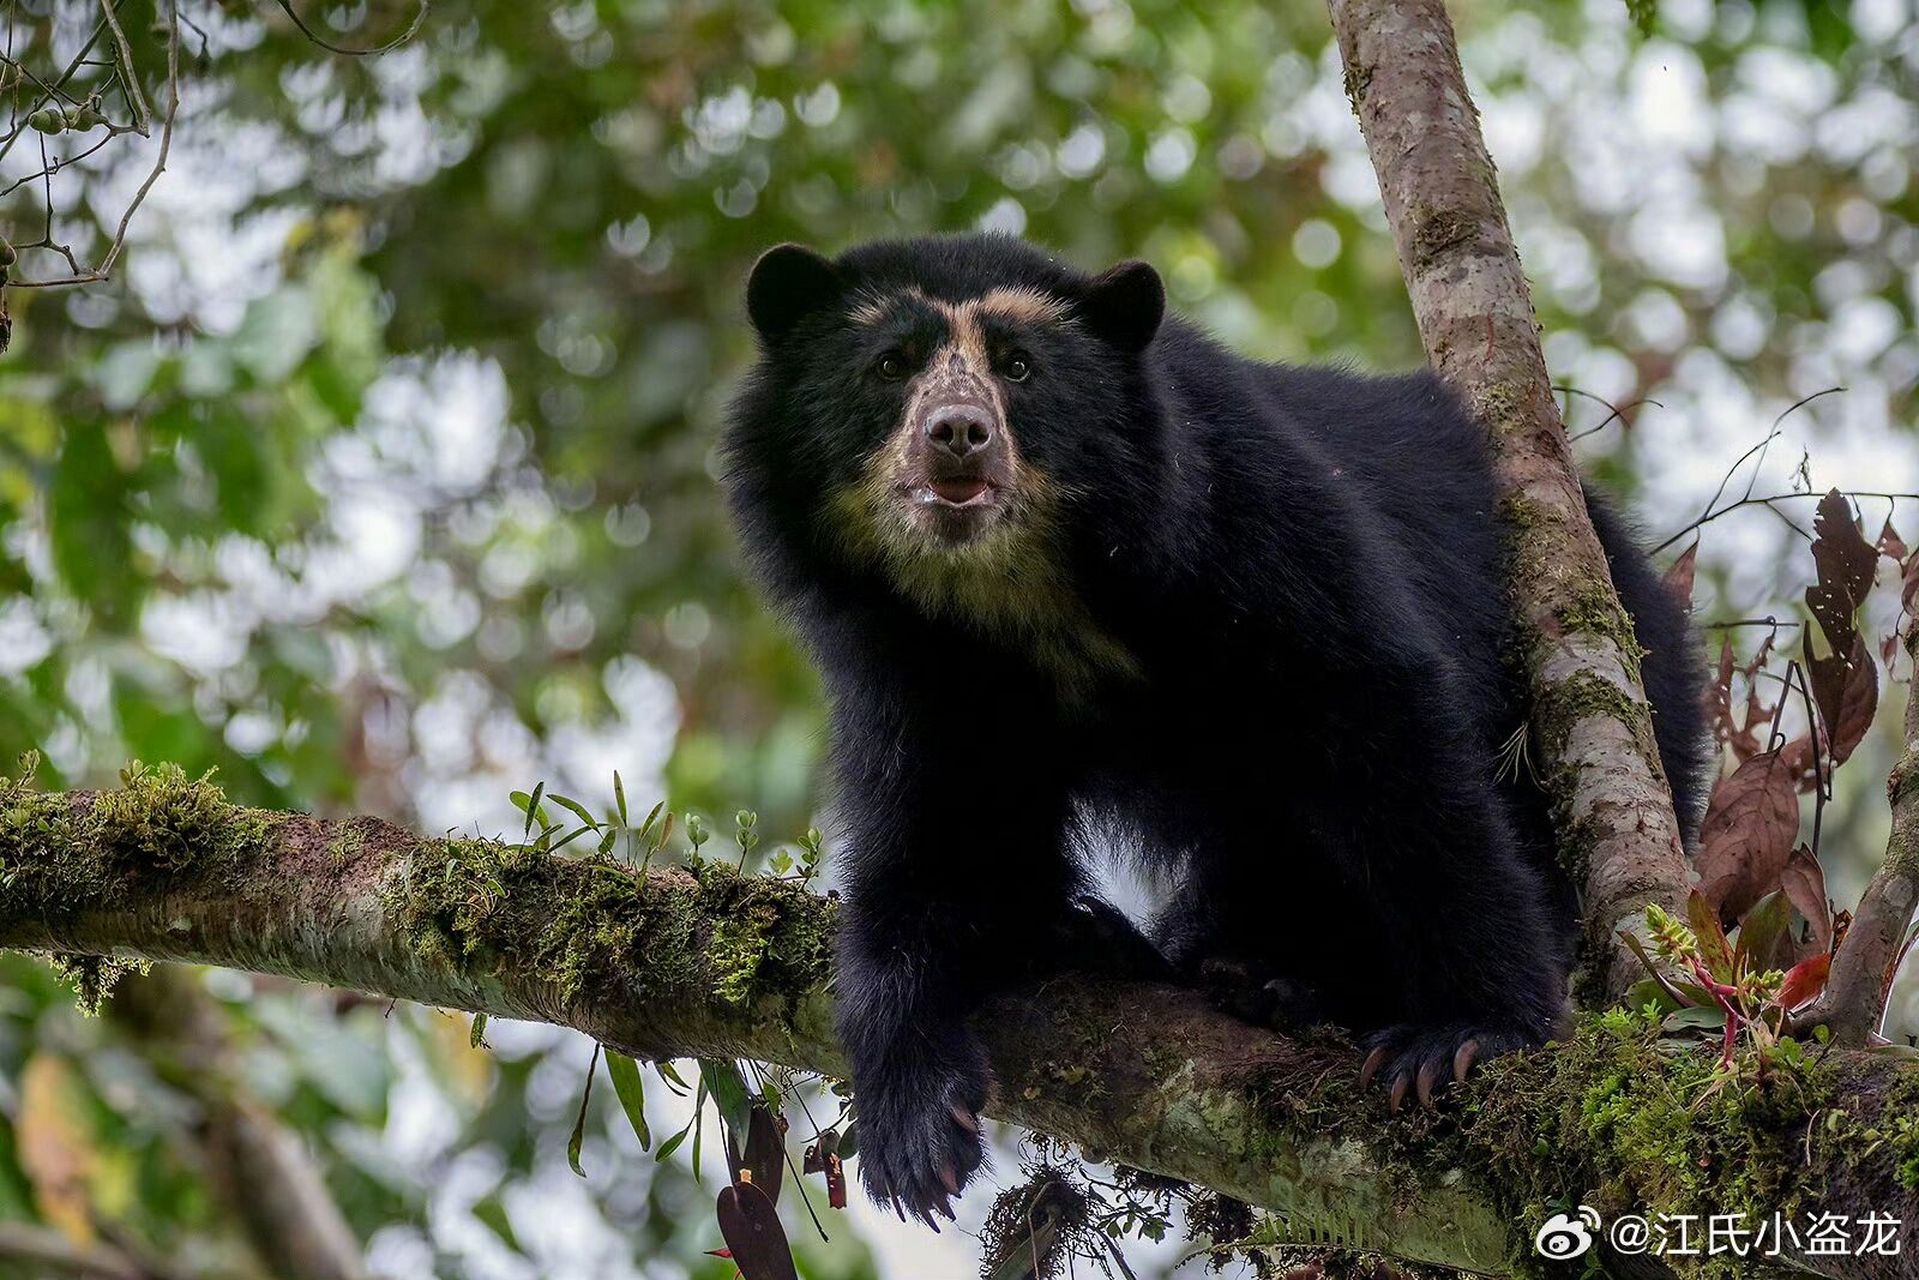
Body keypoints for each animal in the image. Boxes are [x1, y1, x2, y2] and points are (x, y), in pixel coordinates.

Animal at [721, 235, 1711, 1228]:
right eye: (890, 366)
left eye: (1019, 368)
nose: (957, 434)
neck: (1022, 587)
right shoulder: (909, 659)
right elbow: (933, 831)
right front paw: (915, 1127)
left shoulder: (1241, 510)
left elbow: (1382, 731)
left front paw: (1465, 1037)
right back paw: (1137, 949)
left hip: (1614, 653)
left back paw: (1285, 983)